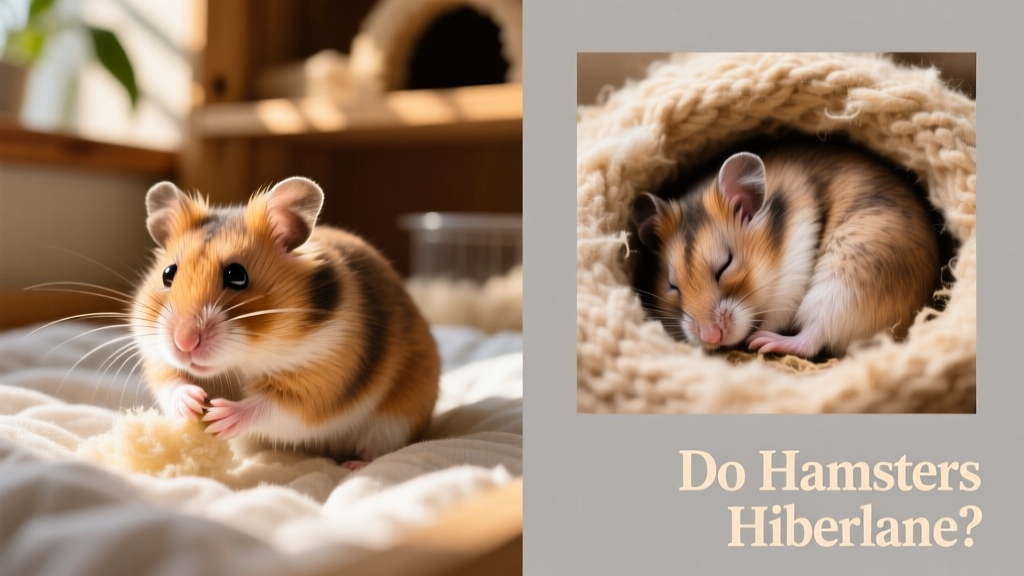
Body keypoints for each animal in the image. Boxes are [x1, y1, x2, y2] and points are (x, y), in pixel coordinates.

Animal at [131, 176, 440, 468]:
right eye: (168, 274)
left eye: (237, 275)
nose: (184, 343)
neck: (240, 362)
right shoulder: (158, 358)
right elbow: (170, 383)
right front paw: (193, 402)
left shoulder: (321, 377)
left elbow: (272, 407)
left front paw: (220, 416)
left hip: (398, 417)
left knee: (378, 448)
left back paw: (354, 465)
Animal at [631, 143, 940, 360]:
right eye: (672, 286)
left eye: (725, 266)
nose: (710, 338)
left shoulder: (790, 282)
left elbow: (777, 317)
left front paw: (753, 336)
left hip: (844, 285)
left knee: (814, 336)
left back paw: (766, 342)